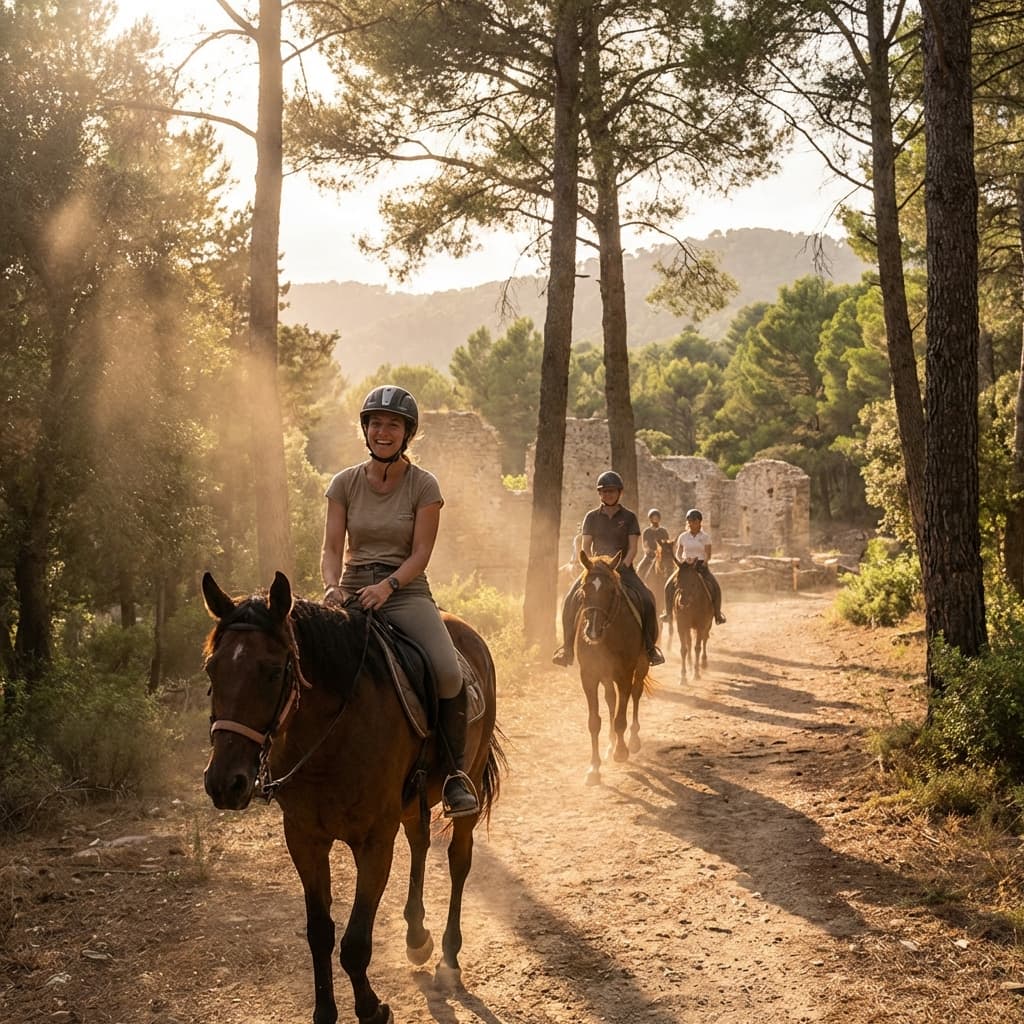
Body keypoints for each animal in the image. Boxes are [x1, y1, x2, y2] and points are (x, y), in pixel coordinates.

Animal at [201, 571, 504, 1024]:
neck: (331, 737)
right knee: (420, 843)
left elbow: (356, 943)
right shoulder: (304, 839)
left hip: (467, 782)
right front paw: (325, 1011)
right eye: (211, 670)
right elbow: (319, 933)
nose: (224, 783)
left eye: (272, 671)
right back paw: (417, 936)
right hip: (410, 803)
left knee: (458, 860)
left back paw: (449, 958)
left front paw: (372, 1009)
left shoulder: (374, 842)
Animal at [573, 551, 652, 786]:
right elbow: (594, 722)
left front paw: (621, 751)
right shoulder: (589, 677)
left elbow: (620, 719)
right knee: (610, 699)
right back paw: (610, 744)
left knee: (635, 693)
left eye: (610, 591)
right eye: (585, 589)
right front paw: (594, 769)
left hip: (641, 666)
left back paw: (632, 740)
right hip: (606, 676)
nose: (592, 631)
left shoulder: (624, 675)